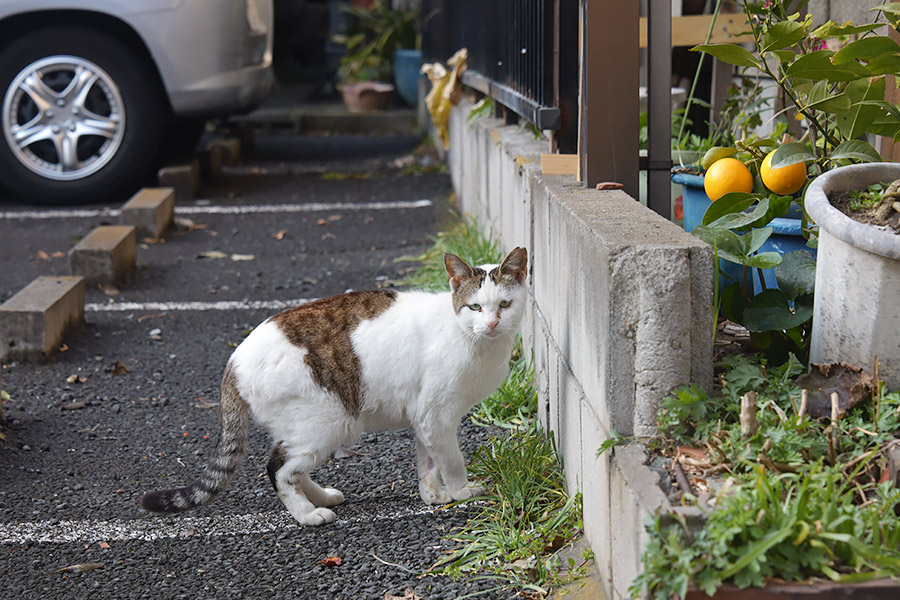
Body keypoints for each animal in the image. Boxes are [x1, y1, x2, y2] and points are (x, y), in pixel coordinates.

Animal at [142, 246, 528, 524]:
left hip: (310, 426)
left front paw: (433, 496)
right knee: (278, 468)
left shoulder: (425, 417)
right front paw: (462, 491)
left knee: (289, 463)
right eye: (475, 307)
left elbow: (428, 462)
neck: (472, 339)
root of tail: (234, 360)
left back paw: (322, 496)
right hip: (328, 420)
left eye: (505, 304)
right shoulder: (436, 415)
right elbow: (451, 460)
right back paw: (308, 514)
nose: (492, 324)